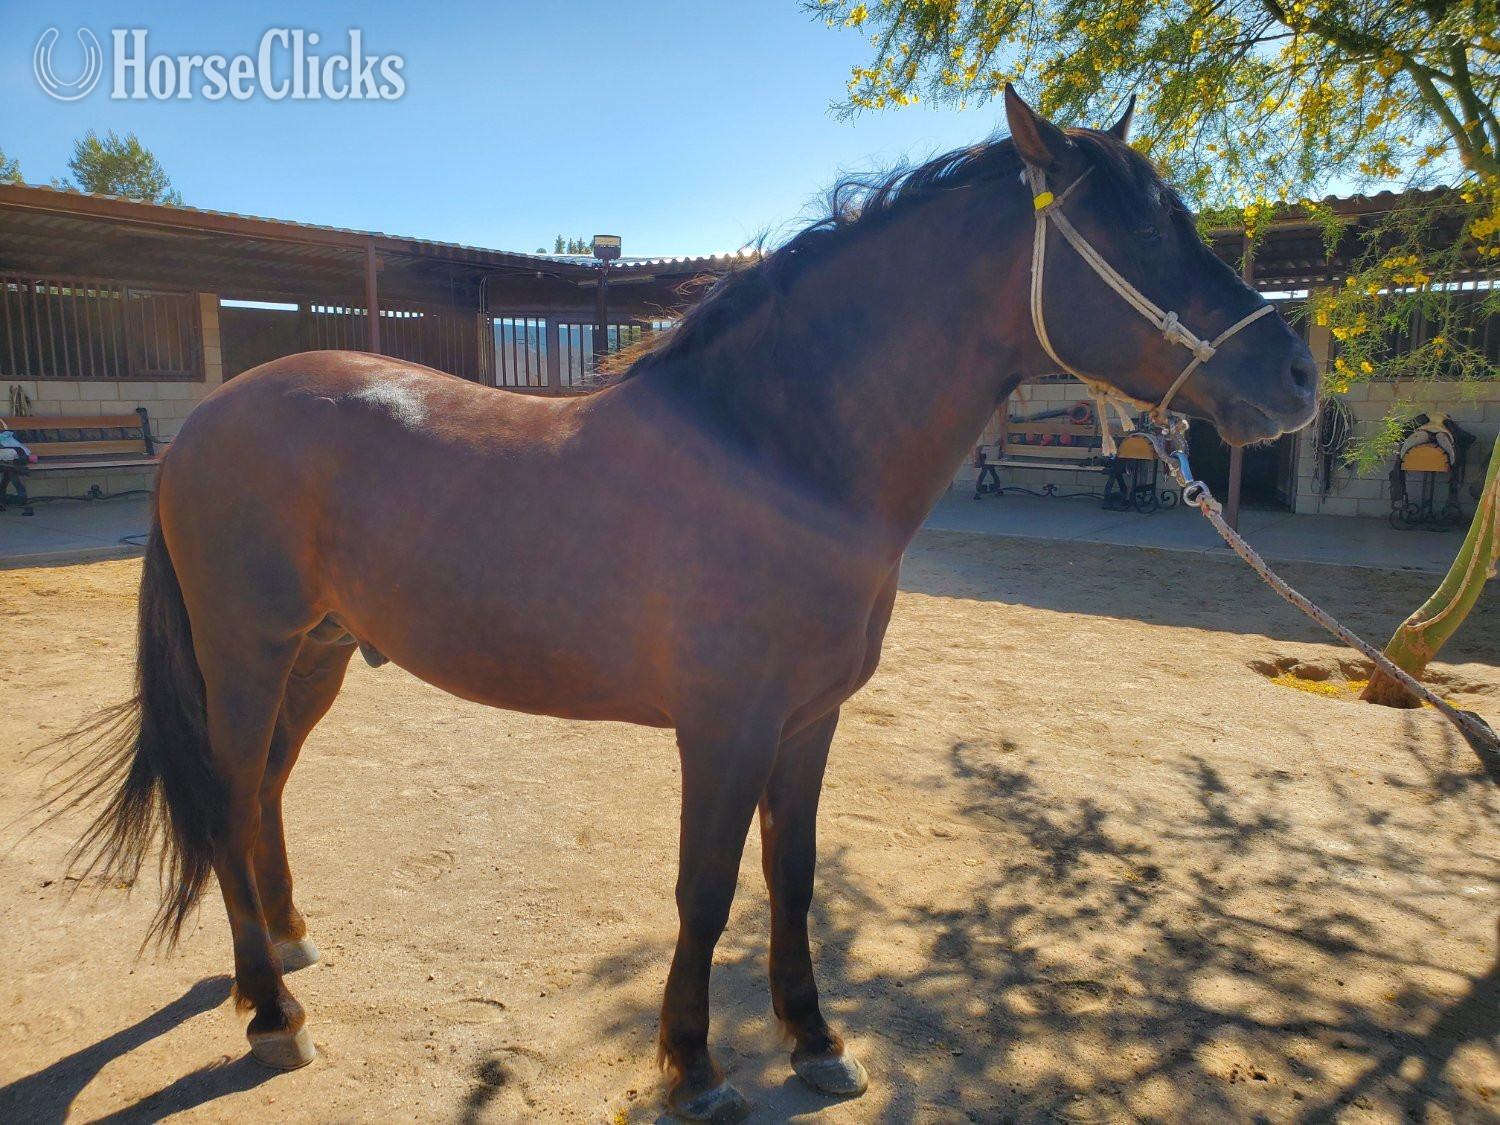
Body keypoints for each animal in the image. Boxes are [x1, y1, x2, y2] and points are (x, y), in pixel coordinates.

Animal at [57, 87, 1315, 1121]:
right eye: (1138, 230)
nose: (1297, 376)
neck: (773, 455)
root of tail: (208, 422)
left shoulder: (808, 722)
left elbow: (791, 880)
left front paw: (816, 1042)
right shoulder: (725, 728)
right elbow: (704, 888)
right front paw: (695, 1066)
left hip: (315, 653)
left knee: (263, 791)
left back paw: (285, 950)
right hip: (249, 654)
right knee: (229, 798)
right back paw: (273, 1017)